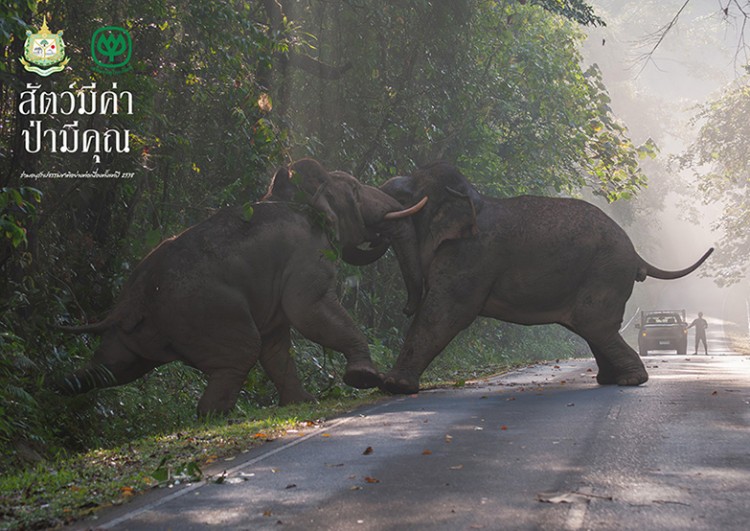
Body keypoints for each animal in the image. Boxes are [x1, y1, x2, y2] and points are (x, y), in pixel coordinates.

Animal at [352, 162, 716, 394]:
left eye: (404, 199)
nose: (403, 309)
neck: (471, 199)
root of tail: (637, 253)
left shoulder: (473, 254)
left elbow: (447, 311)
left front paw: (394, 386)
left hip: (606, 271)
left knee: (592, 322)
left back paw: (629, 381)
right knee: (593, 327)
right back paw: (610, 380)